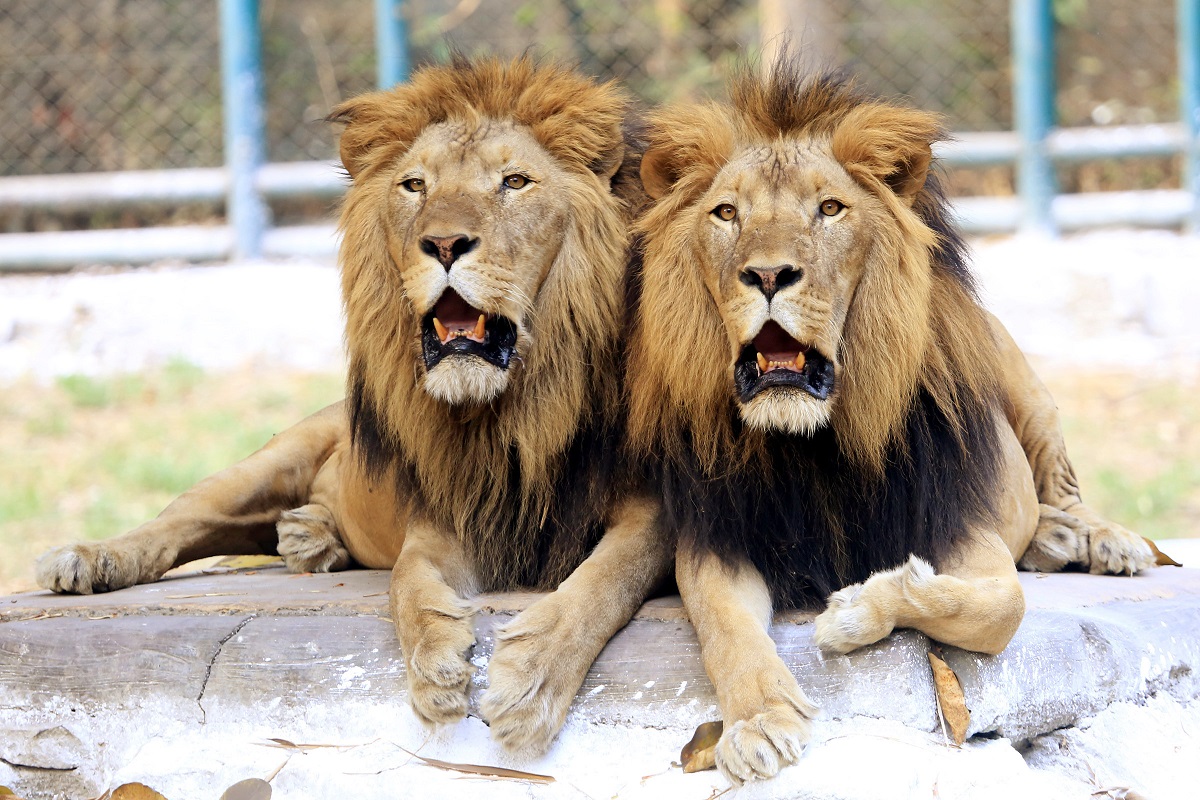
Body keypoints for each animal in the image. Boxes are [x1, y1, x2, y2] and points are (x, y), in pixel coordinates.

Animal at [37, 56, 672, 758]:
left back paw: (310, 537)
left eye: (514, 182)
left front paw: (532, 681)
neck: (516, 408)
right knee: (180, 521)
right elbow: (408, 583)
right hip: (268, 461)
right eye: (415, 186)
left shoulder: (649, 513)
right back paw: (92, 559)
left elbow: (603, 580)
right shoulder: (443, 519)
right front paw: (435, 669)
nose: (443, 244)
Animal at [628, 61, 1152, 782]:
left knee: (1062, 482)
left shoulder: (962, 531)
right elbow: (726, 631)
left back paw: (1096, 538)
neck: (815, 444)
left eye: (829, 208)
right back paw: (1055, 539)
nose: (767, 274)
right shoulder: (721, 541)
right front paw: (759, 721)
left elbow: (993, 606)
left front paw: (854, 612)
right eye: (727, 213)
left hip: (1023, 381)